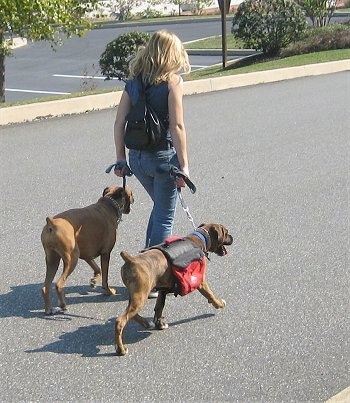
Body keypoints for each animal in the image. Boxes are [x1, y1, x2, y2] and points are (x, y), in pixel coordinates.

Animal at [40, 186, 134, 316]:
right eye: (131, 195)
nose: (132, 205)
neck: (109, 204)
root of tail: (51, 223)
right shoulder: (106, 254)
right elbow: (105, 277)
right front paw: (108, 291)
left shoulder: (86, 255)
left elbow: (97, 268)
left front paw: (94, 280)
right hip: (71, 259)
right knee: (59, 284)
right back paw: (63, 305)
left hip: (52, 260)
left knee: (45, 287)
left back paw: (48, 309)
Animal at [116, 224, 234, 356]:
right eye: (226, 233)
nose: (232, 237)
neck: (200, 239)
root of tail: (131, 260)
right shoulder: (201, 282)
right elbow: (211, 295)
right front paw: (219, 304)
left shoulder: (163, 290)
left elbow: (159, 308)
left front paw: (160, 324)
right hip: (140, 297)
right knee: (120, 321)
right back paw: (121, 349)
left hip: (137, 296)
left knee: (132, 315)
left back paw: (146, 323)